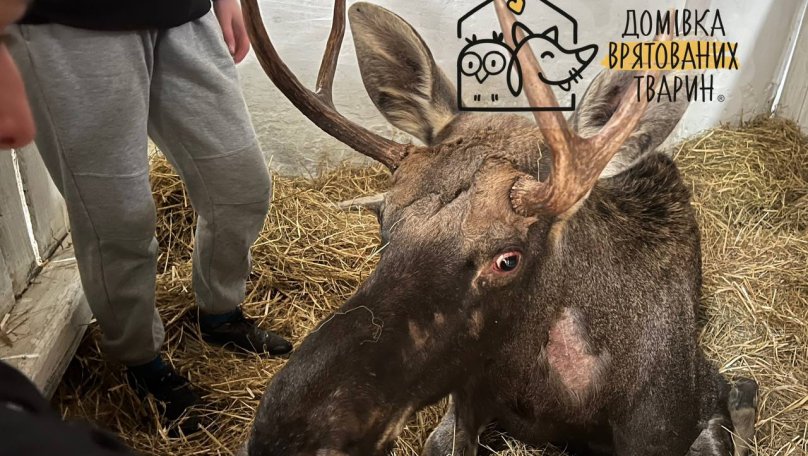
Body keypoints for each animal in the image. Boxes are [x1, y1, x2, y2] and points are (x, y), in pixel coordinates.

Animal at [239, 0, 758, 454]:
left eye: (508, 259)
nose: (286, 432)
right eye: (384, 222)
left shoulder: (678, 413)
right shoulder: (467, 394)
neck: (553, 397)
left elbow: (720, 428)